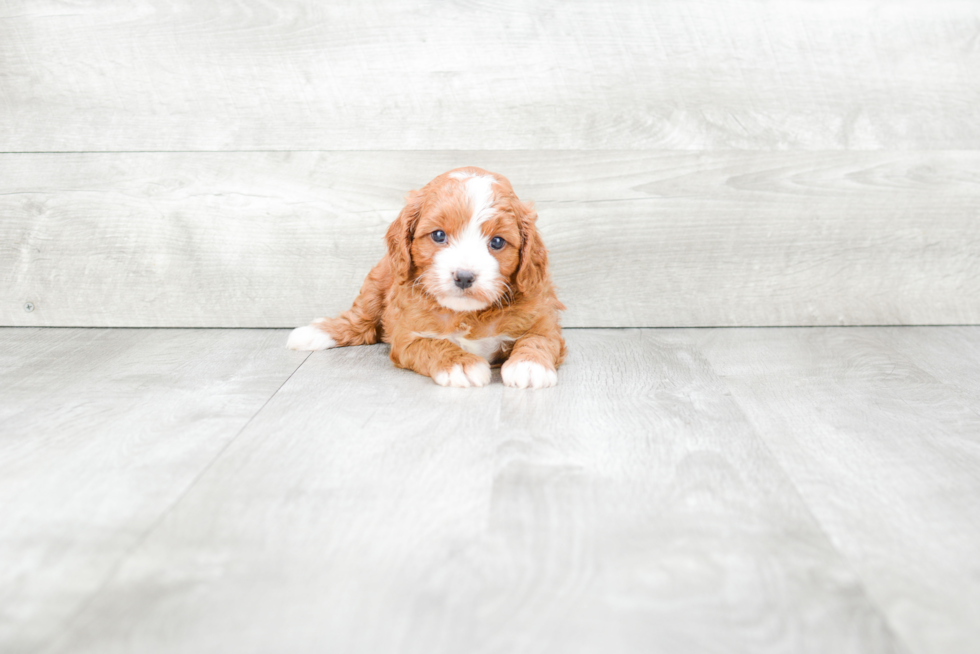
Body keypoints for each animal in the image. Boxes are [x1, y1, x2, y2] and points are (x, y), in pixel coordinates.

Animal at [288, 167, 568, 390]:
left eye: (497, 242)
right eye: (438, 235)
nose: (464, 277)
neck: (468, 314)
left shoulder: (542, 318)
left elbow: (539, 339)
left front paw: (529, 365)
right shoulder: (407, 335)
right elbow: (433, 344)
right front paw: (461, 365)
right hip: (377, 282)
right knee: (360, 319)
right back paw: (315, 332)